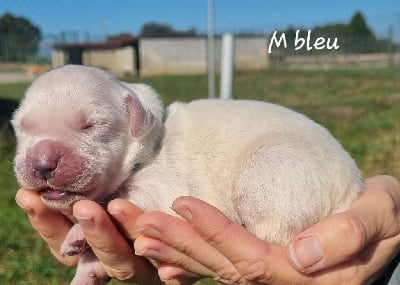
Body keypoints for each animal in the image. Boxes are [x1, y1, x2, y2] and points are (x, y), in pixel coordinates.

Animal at [11, 65, 362, 284]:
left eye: (89, 125)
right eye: (23, 126)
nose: (42, 163)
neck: (148, 148)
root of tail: (354, 188)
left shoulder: (164, 193)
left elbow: (111, 201)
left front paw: (77, 234)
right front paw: (87, 271)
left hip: (270, 170)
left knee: (273, 233)